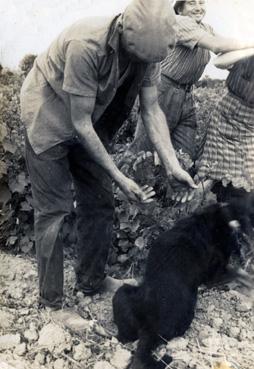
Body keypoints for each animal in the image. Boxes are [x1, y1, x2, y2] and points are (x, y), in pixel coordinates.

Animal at [113, 198, 254, 368]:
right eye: (231, 244)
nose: (238, 250)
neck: (203, 223)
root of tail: (152, 327)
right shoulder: (213, 274)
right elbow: (236, 272)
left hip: (121, 296)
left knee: (126, 337)